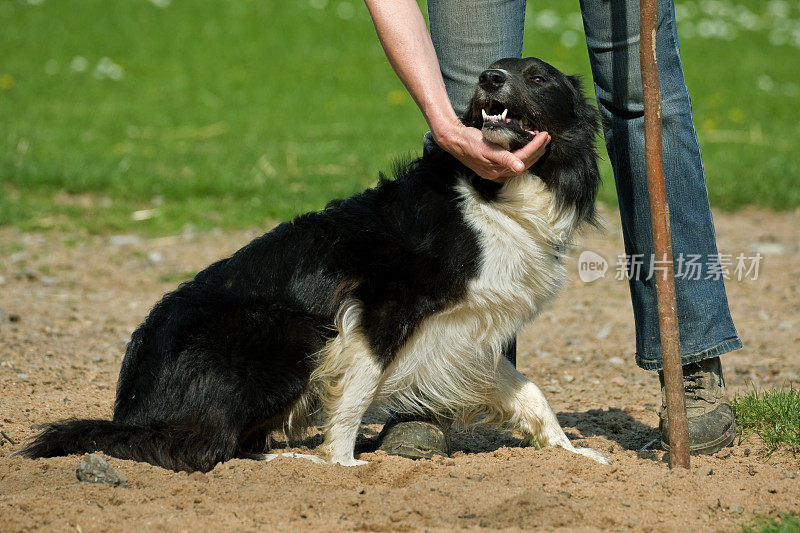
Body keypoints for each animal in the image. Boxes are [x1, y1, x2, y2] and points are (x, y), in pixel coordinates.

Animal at [17, 58, 608, 472]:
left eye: (537, 77)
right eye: (497, 71)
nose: (489, 78)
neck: (494, 196)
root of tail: (134, 412)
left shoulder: (466, 327)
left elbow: (528, 388)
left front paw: (570, 451)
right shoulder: (379, 306)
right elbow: (358, 389)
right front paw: (342, 464)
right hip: (289, 332)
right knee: (202, 447)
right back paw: (288, 459)